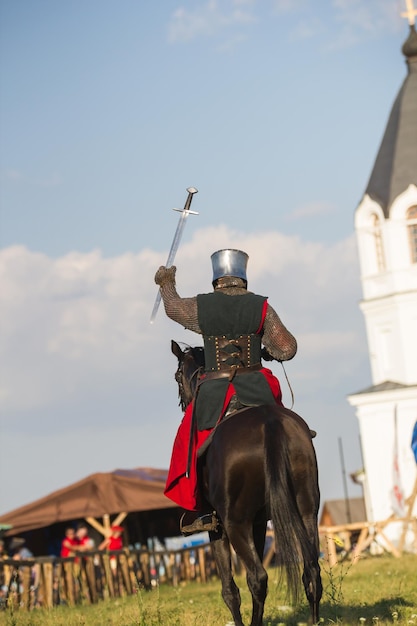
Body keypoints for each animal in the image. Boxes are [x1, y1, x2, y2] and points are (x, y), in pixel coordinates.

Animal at [171, 342, 320, 624]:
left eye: (177, 377)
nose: (183, 404)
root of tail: (269, 424)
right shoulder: (259, 523)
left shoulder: (218, 527)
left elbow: (229, 590)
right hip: (306, 512)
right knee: (312, 571)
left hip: (235, 524)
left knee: (257, 577)